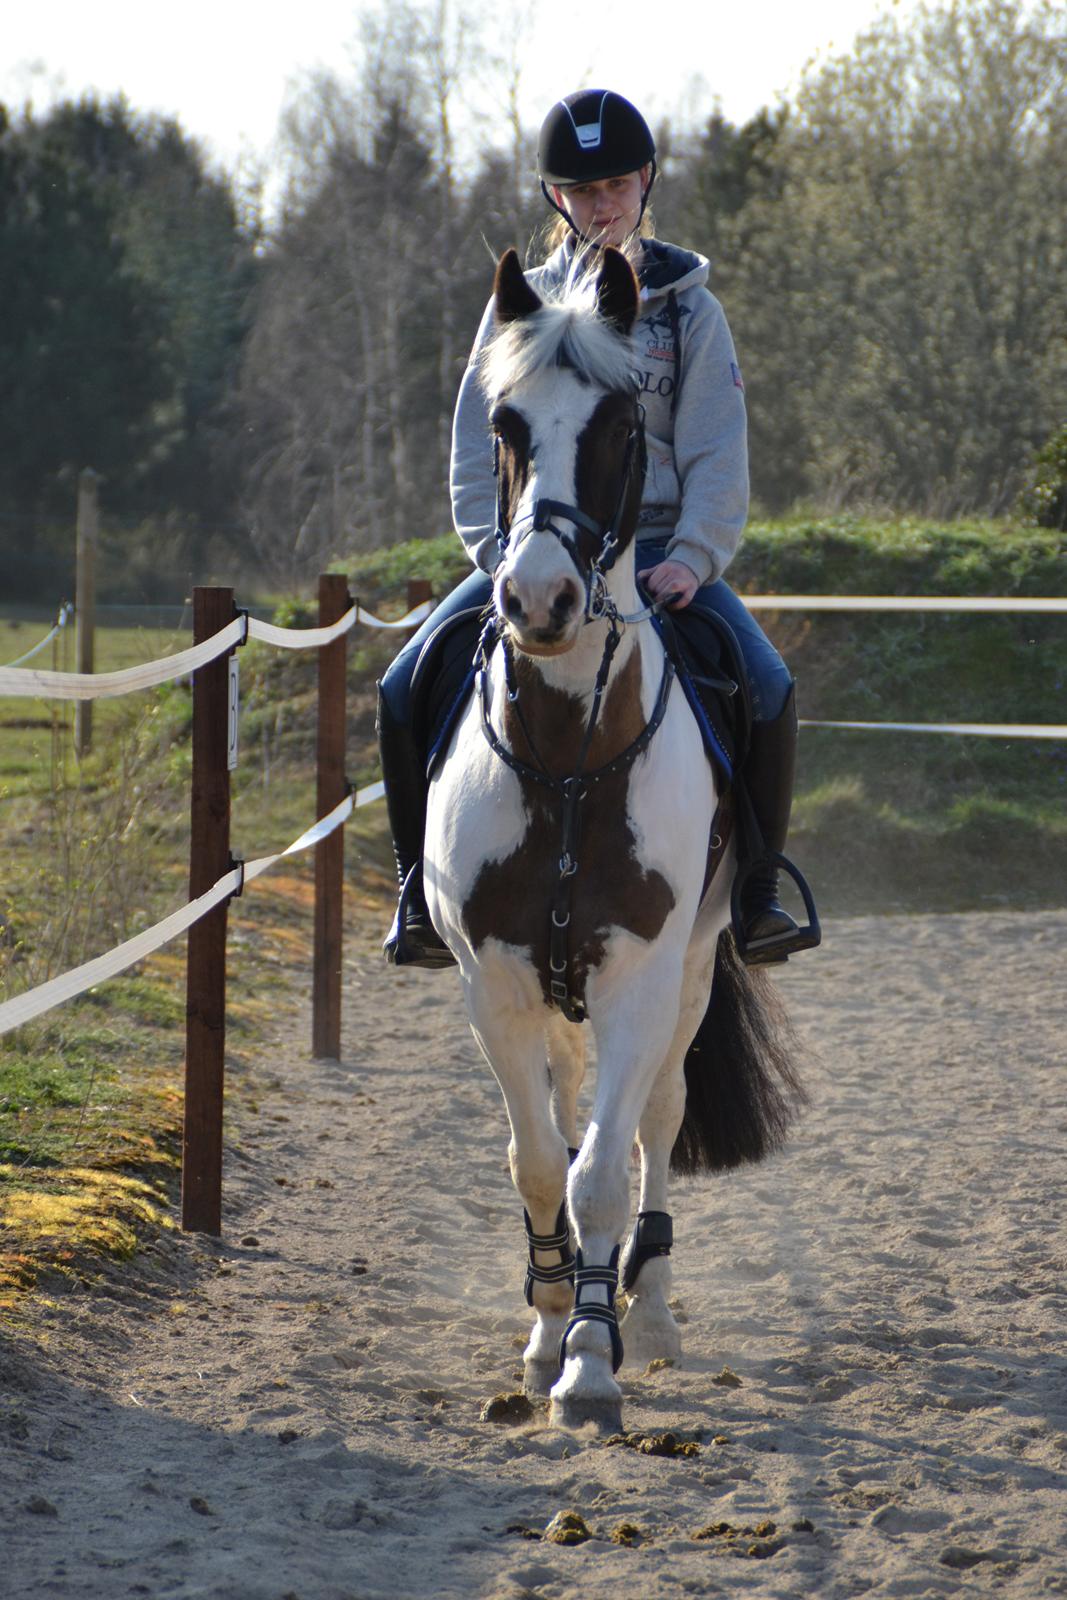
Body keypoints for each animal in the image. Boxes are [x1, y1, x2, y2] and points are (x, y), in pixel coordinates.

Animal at [422, 249, 799, 1440]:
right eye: (502, 422)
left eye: (621, 426)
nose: (537, 598)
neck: (568, 761)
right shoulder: (494, 982)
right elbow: (539, 1162)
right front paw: (549, 1333)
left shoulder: (639, 975)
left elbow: (602, 1173)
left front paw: (594, 1361)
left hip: (691, 975)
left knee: (656, 1126)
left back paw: (655, 1313)